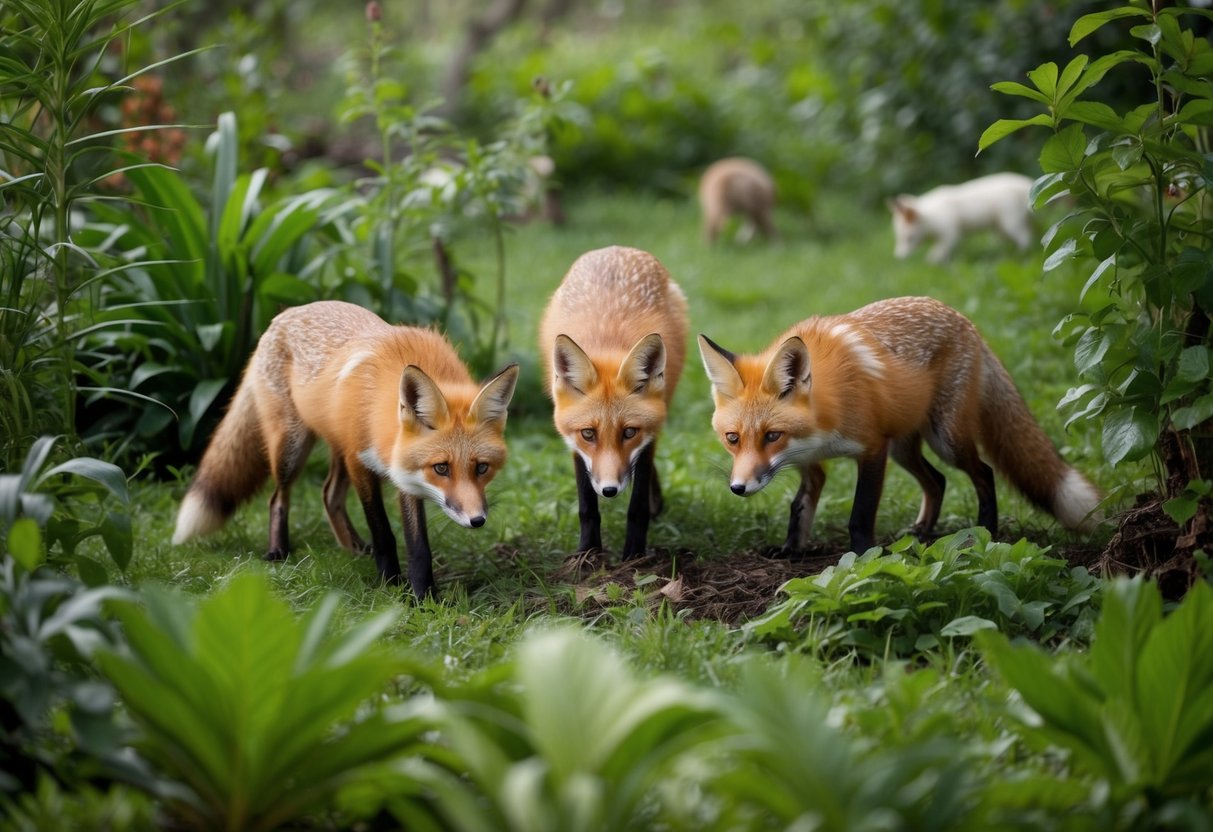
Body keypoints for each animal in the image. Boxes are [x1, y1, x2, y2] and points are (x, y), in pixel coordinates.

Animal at [172, 301, 519, 599]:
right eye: (442, 468)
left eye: (482, 467)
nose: (477, 520)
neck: (378, 408)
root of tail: (285, 313)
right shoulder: (361, 461)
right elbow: (383, 532)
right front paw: (391, 585)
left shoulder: (403, 471)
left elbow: (418, 545)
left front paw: (424, 597)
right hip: (292, 448)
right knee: (278, 498)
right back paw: (279, 550)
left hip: (335, 449)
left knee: (328, 495)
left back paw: (352, 547)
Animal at [539, 246, 689, 557]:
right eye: (588, 434)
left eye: (629, 432)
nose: (609, 490)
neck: (608, 344)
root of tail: (615, 249)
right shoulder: (574, 442)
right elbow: (586, 506)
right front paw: (588, 553)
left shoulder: (647, 436)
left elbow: (637, 505)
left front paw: (634, 554)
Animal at [698, 296, 1101, 556]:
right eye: (732, 438)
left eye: (771, 436)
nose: (738, 488)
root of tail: (964, 320)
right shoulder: (810, 461)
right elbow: (800, 507)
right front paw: (790, 549)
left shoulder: (872, 449)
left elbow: (860, 517)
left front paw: (862, 558)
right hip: (904, 447)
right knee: (938, 481)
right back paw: (923, 530)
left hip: (945, 439)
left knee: (983, 473)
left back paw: (986, 530)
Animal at [888, 172, 1034, 263]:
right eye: (898, 238)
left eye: (909, 238)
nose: (898, 257)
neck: (930, 217)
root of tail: (1026, 184)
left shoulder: (949, 233)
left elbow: (940, 251)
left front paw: (932, 261)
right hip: (1002, 225)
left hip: (1011, 221)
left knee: (1025, 237)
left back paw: (1021, 254)